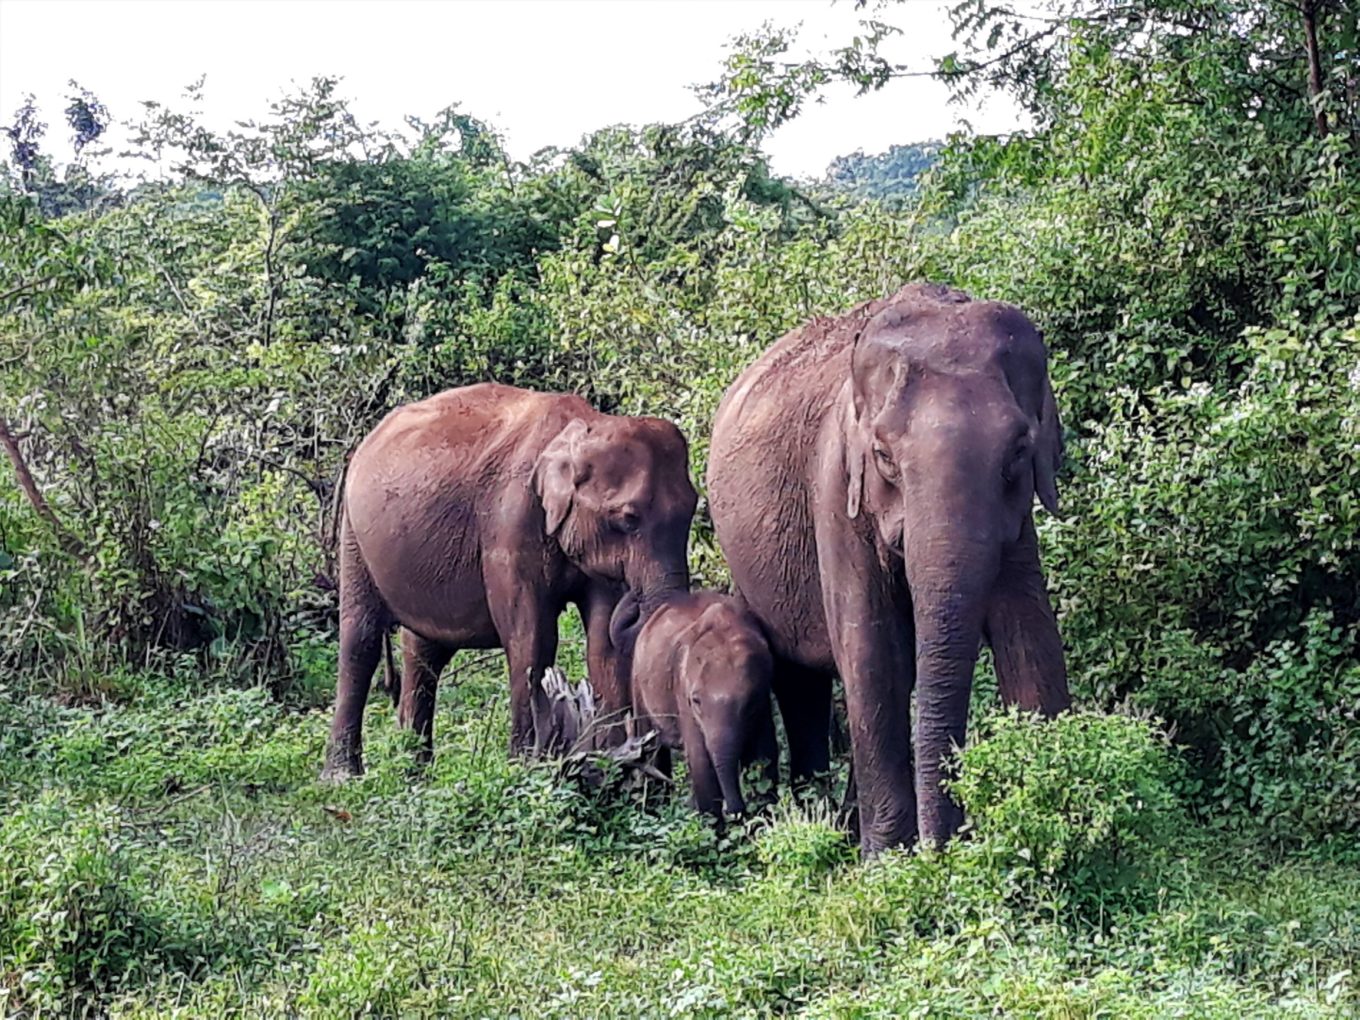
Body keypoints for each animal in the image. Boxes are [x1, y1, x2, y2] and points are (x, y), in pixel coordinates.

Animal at [322, 383, 696, 783]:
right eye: (628, 518)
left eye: (693, 508)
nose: (635, 599)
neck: (583, 429)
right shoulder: (511, 522)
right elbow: (531, 637)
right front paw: (525, 766)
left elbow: (602, 643)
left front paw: (612, 765)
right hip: (353, 534)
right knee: (360, 640)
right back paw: (343, 777)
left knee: (424, 651)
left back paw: (415, 772)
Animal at [622, 595, 777, 821]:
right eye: (695, 701)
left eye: (750, 701)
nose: (734, 811)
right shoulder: (682, 692)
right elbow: (700, 761)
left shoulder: (763, 703)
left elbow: (764, 754)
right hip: (637, 681)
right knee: (651, 750)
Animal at [707, 284, 1066, 859]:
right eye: (883, 456)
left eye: (1017, 452)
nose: (945, 845)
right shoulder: (836, 489)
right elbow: (874, 651)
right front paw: (889, 862)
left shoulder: (1019, 516)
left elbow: (1029, 634)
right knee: (796, 674)